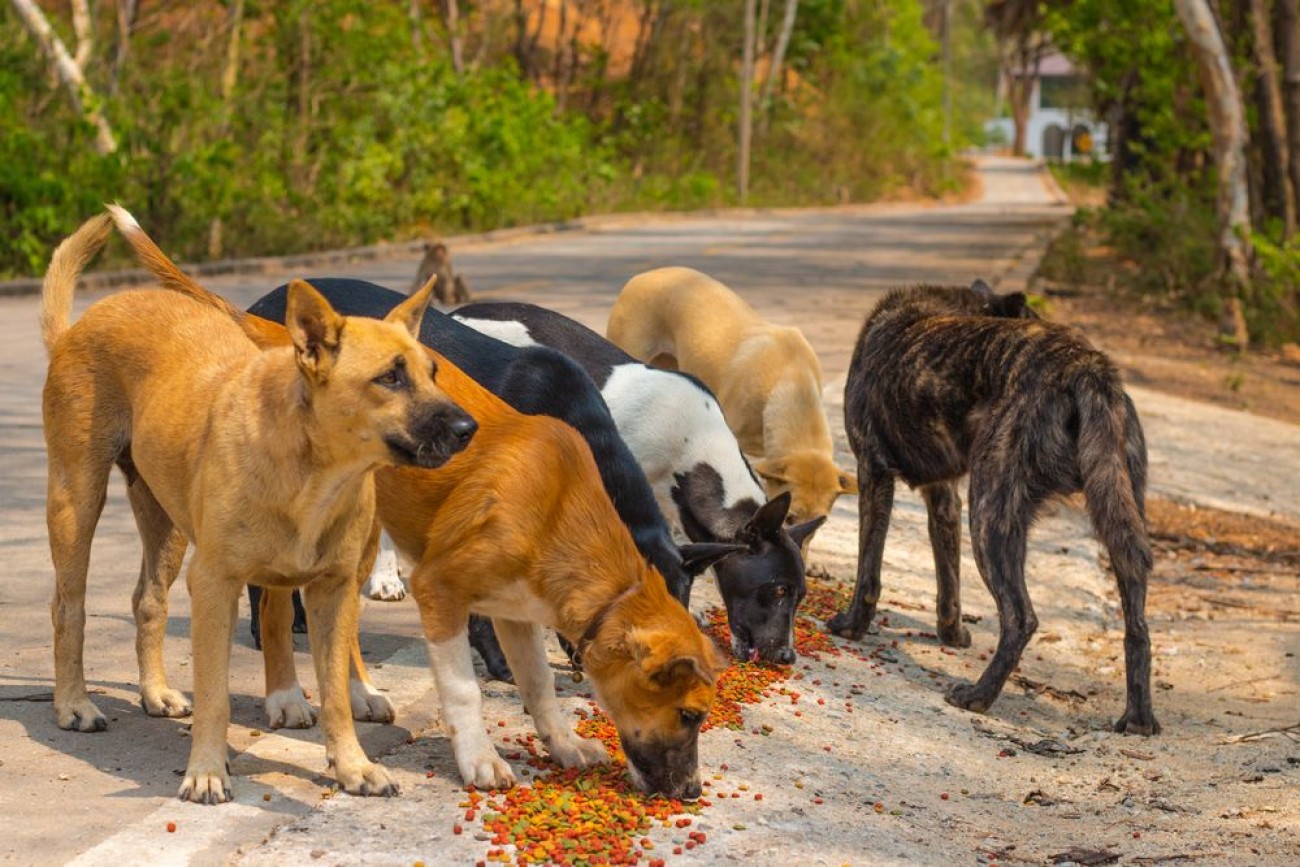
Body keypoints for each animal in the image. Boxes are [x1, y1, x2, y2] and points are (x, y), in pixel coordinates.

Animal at [39, 206, 478, 805]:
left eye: (432, 372)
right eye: (389, 377)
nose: (468, 429)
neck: (313, 473)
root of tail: (78, 327)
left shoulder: (332, 590)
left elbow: (335, 694)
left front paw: (353, 767)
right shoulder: (215, 585)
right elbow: (216, 693)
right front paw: (206, 771)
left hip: (167, 525)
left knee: (148, 600)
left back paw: (155, 692)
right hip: (77, 501)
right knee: (69, 607)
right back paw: (74, 704)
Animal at [826, 282, 1164, 738]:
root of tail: (1086, 365)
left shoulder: (872, 471)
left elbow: (868, 570)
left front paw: (852, 627)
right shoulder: (944, 495)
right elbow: (948, 582)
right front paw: (951, 634)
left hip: (989, 514)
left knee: (1021, 617)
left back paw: (979, 695)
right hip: (1120, 521)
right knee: (1138, 627)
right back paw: (1138, 718)